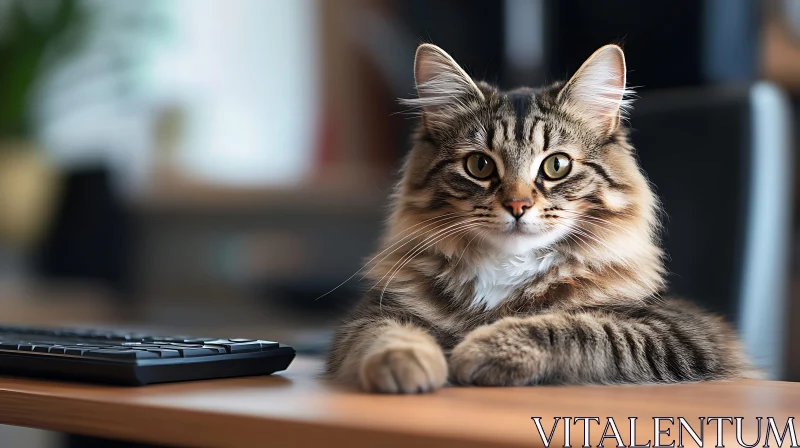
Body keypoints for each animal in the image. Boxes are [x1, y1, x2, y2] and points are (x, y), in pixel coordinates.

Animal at [324, 42, 752, 392]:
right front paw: (406, 364)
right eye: (479, 165)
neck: (508, 268)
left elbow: (579, 328)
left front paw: (481, 349)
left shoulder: (683, 331)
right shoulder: (367, 317)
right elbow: (387, 333)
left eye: (556, 165)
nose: (517, 206)